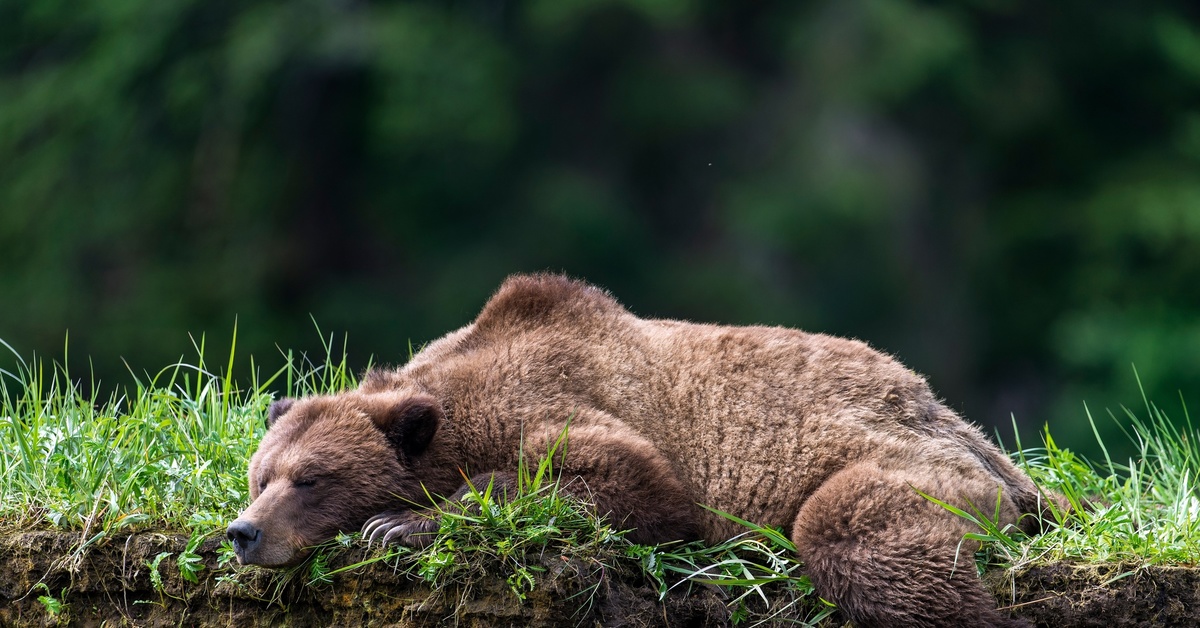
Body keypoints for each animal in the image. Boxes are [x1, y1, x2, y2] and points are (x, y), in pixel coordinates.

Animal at [229, 274, 1046, 628]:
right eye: (261, 476)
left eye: (310, 479)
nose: (244, 533)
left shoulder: (574, 404)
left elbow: (628, 482)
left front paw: (399, 522)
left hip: (906, 458)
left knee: (853, 530)